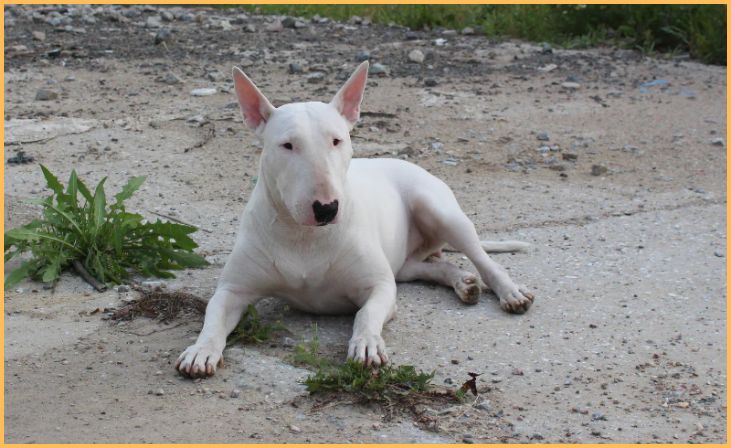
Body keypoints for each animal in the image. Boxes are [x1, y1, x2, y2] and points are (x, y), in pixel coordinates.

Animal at [176, 61, 534, 378]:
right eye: (287, 145)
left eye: (337, 140)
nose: (327, 208)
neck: (304, 237)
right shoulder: (232, 290)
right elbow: (212, 317)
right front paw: (200, 351)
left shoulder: (380, 286)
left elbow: (366, 314)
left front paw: (366, 345)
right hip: (405, 263)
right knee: (432, 266)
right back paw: (464, 283)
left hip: (439, 210)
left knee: (484, 260)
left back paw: (510, 293)